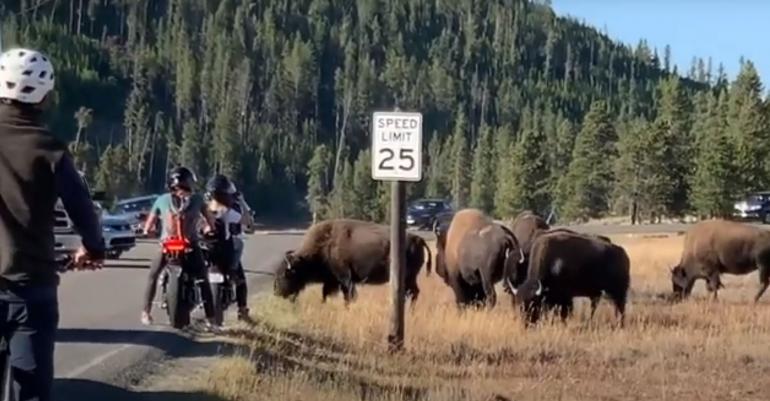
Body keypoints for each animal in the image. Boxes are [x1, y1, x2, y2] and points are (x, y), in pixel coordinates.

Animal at [273, 218, 432, 304]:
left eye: (285, 274)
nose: (276, 292)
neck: (326, 244)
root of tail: (418, 239)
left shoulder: (345, 279)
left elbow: (347, 296)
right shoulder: (333, 281)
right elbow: (326, 294)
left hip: (408, 277)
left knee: (412, 293)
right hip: (411, 278)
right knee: (413, 292)